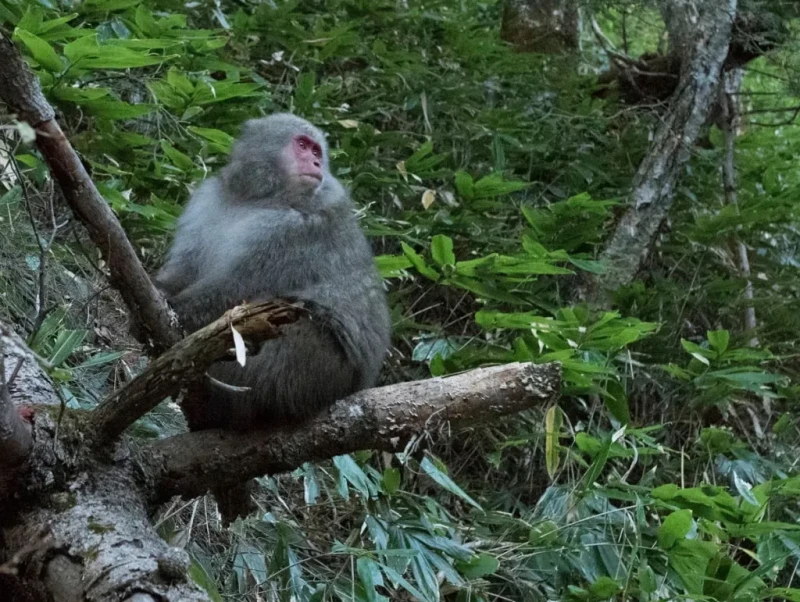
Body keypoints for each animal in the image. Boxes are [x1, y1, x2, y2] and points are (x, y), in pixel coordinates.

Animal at [155, 113, 392, 432]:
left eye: (317, 151)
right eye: (303, 145)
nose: (316, 163)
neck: (261, 199)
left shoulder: (294, 232)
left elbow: (232, 294)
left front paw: (170, 308)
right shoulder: (207, 200)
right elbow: (185, 269)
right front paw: (157, 287)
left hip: (314, 377)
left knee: (292, 323)